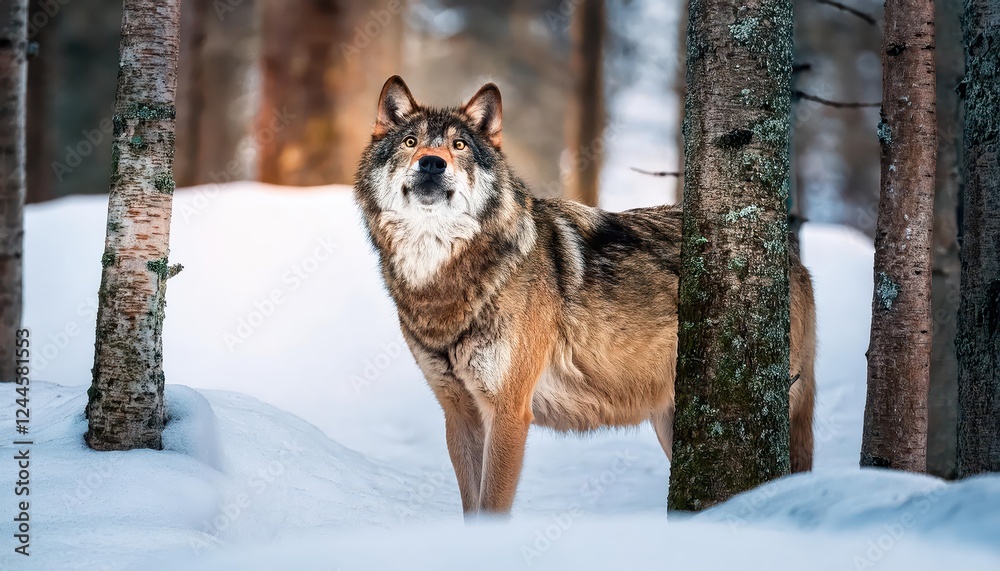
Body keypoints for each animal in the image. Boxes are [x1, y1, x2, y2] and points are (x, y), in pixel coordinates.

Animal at [354, 76, 817, 516]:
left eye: (459, 145)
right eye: (411, 143)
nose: (432, 163)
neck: (443, 280)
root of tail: (793, 258)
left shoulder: (508, 412)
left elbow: (491, 507)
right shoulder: (460, 414)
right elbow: (472, 510)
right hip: (672, 423)